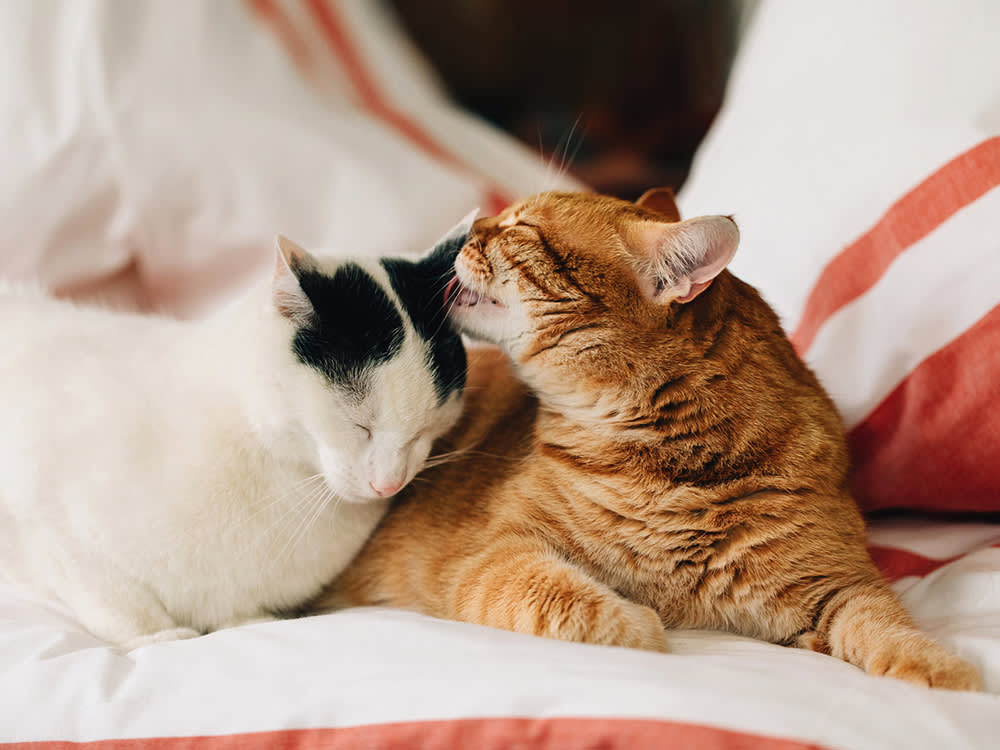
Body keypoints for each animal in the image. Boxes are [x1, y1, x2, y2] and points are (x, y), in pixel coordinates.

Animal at [0, 214, 474, 648]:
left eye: (425, 427)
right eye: (358, 423)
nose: (389, 484)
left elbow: (238, 617)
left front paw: (245, 624)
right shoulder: (51, 521)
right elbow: (117, 598)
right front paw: (159, 637)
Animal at [322, 189, 984, 692]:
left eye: (520, 226)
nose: (465, 230)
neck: (668, 470)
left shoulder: (836, 584)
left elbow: (886, 624)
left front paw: (938, 669)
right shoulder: (495, 555)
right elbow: (576, 603)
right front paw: (641, 625)